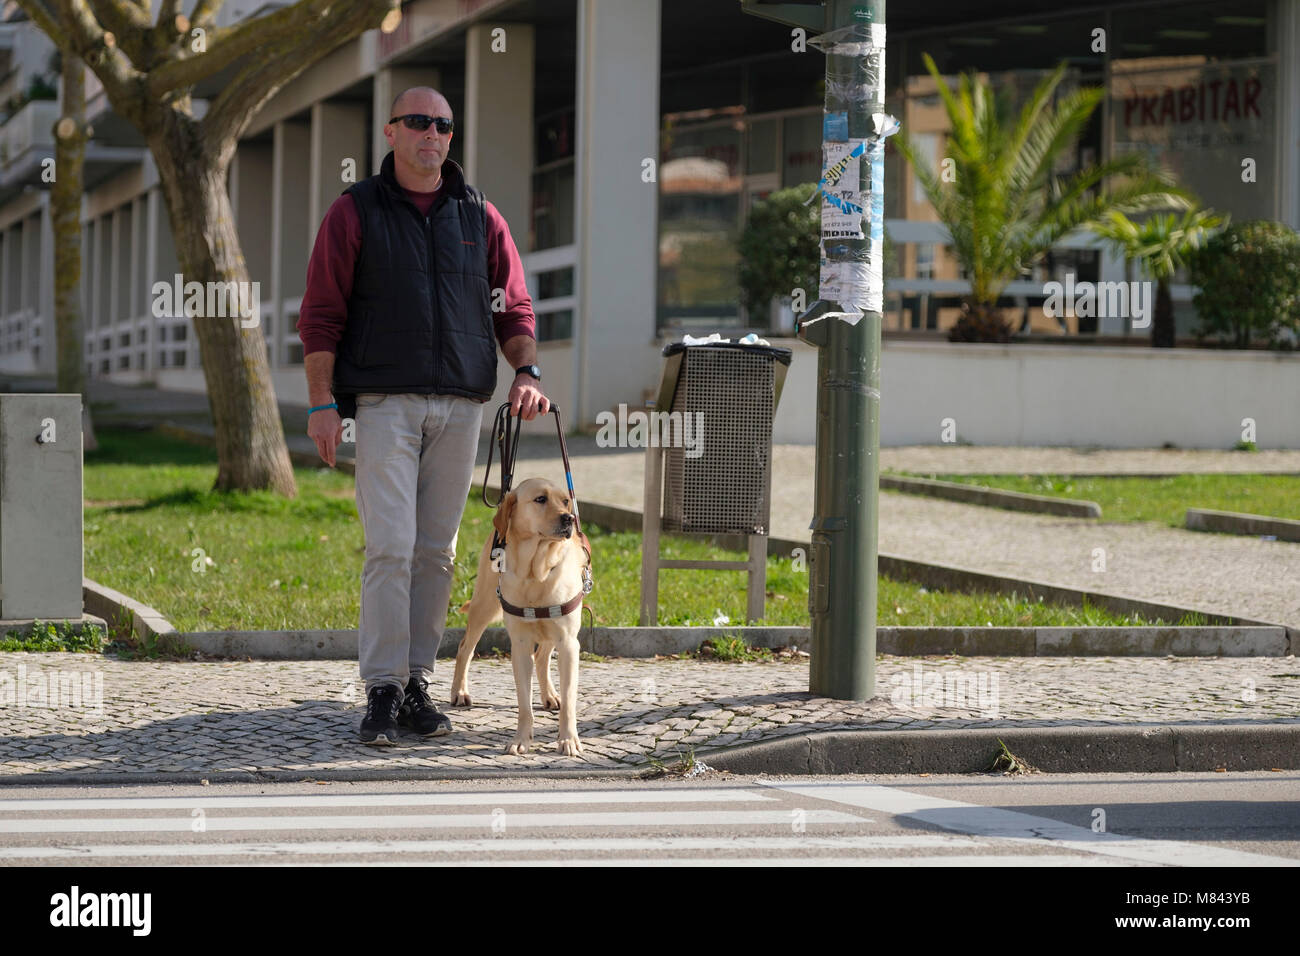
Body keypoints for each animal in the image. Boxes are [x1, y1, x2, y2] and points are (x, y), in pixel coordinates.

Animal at [447, 478, 590, 754]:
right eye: (540, 499)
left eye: (565, 501)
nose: (569, 518)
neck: (536, 573)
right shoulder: (520, 645)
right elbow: (524, 703)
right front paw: (521, 740)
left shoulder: (569, 643)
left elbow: (569, 701)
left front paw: (568, 740)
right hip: (484, 606)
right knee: (465, 648)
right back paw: (459, 691)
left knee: (542, 657)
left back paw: (550, 696)